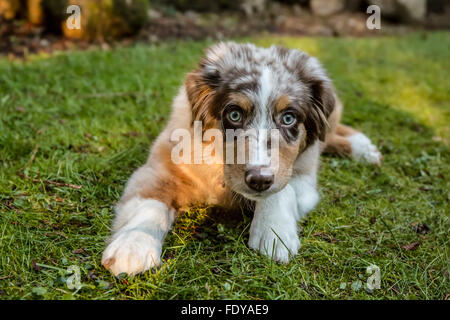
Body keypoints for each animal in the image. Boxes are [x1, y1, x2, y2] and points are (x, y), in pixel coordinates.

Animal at [103, 42, 384, 276]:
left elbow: (284, 188)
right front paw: (133, 245)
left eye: (289, 118)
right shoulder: (159, 168)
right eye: (235, 114)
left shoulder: (305, 178)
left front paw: (274, 233)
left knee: (330, 132)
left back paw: (363, 147)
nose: (258, 180)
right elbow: (149, 204)